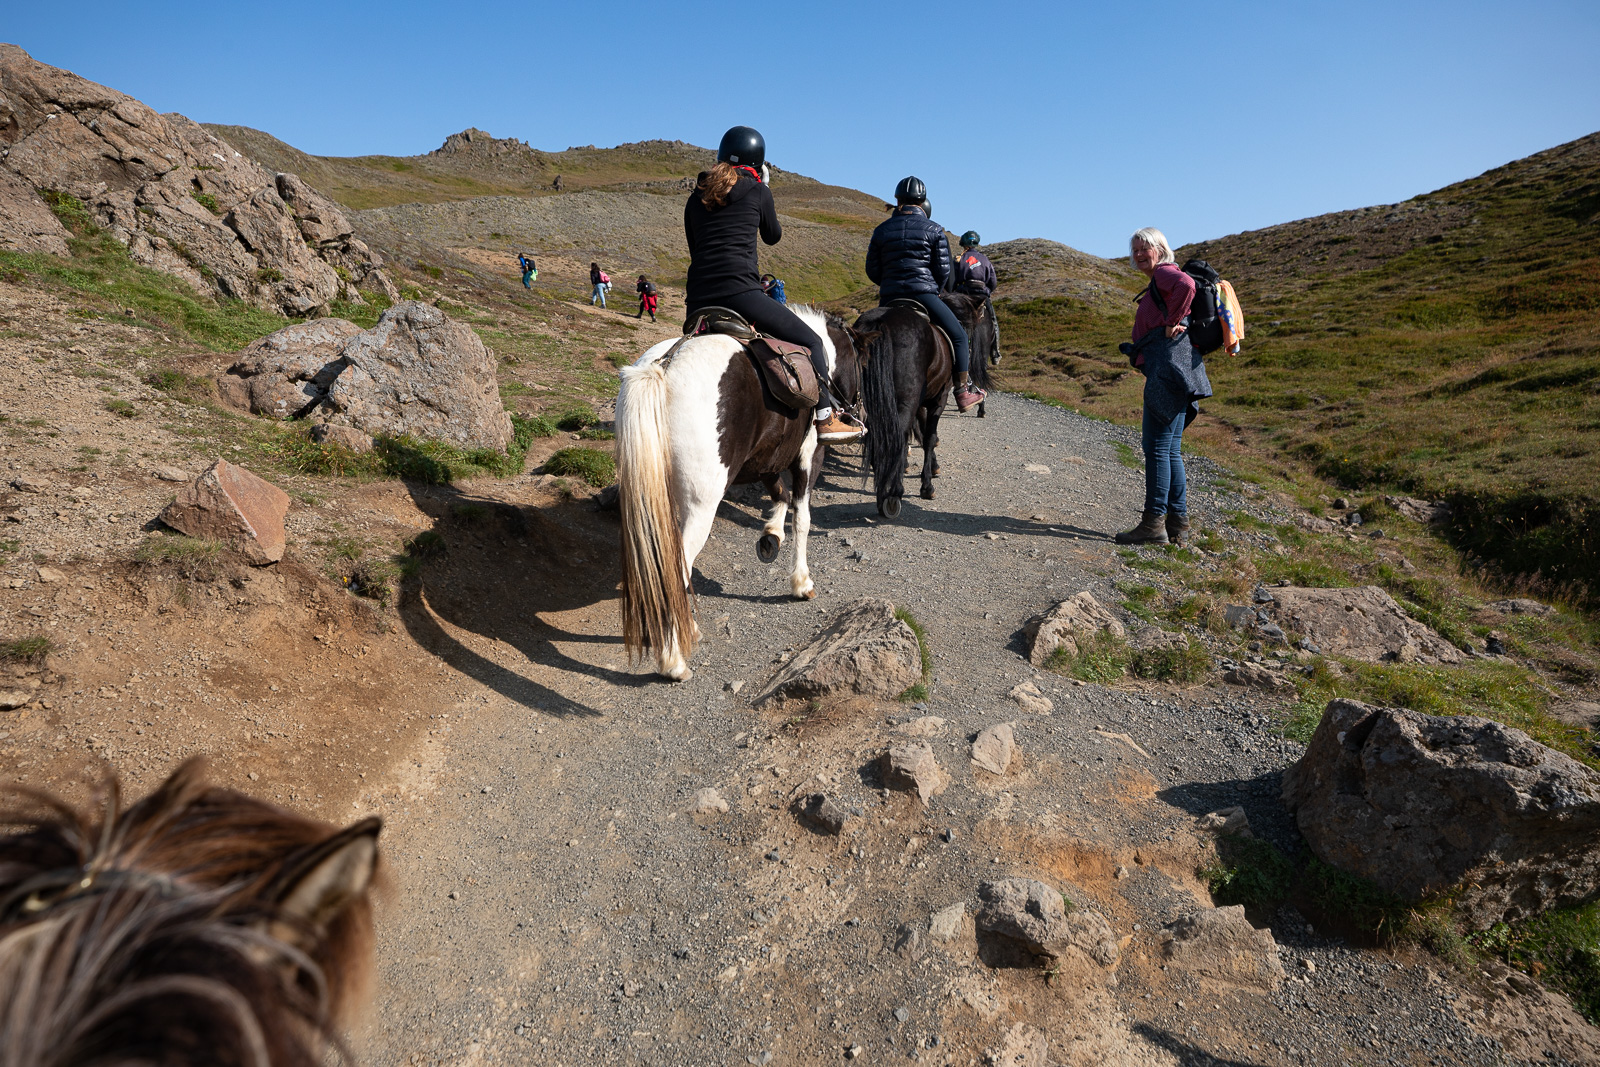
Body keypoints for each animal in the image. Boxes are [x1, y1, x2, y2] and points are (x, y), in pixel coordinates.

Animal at [616, 305, 867, 681]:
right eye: (861, 363)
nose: (856, 412)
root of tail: (663, 367)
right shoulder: (809, 456)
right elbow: (803, 517)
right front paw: (801, 582)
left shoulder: (766, 459)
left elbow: (779, 494)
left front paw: (771, 536)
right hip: (701, 506)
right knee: (675, 570)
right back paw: (673, 660)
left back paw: (687, 630)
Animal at [857, 290, 997, 516]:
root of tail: (881, 322)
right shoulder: (938, 399)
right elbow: (929, 437)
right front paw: (927, 485)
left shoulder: (921, 402)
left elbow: (922, 435)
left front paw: (932, 467)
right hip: (904, 402)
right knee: (896, 438)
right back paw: (893, 493)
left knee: (880, 436)